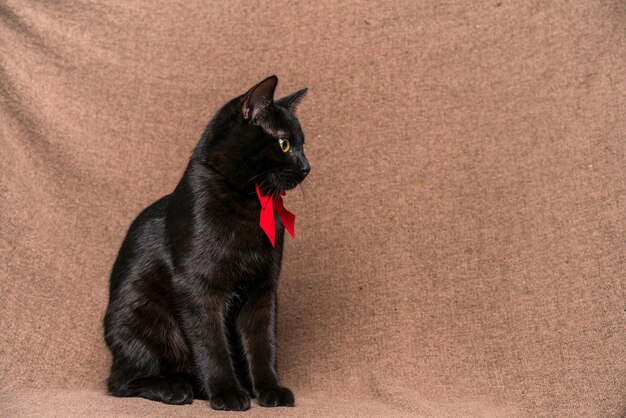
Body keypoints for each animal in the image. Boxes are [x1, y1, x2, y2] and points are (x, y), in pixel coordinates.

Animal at [103, 76, 310, 412]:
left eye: (304, 144)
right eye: (284, 144)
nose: (307, 166)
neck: (251, 202)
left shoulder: (263, 288)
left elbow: (263, 342)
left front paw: (269, 389)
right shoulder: (197, 287)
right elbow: (211, 344)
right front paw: (227, 393)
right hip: (142, 318)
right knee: (121, 382)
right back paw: (175, 388)